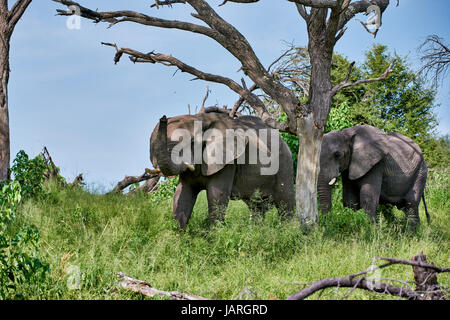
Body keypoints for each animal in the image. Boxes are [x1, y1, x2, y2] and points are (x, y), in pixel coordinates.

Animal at [149, 109, 294, 229]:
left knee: (285, 203)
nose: (163, 117)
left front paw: (216, 236)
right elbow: (182, 193)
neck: (200, 118)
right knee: (256, 207)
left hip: (284, 163)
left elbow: (217, 195)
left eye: (191, 142)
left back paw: (288, 232)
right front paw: (177, 236)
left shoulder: (228, 161)